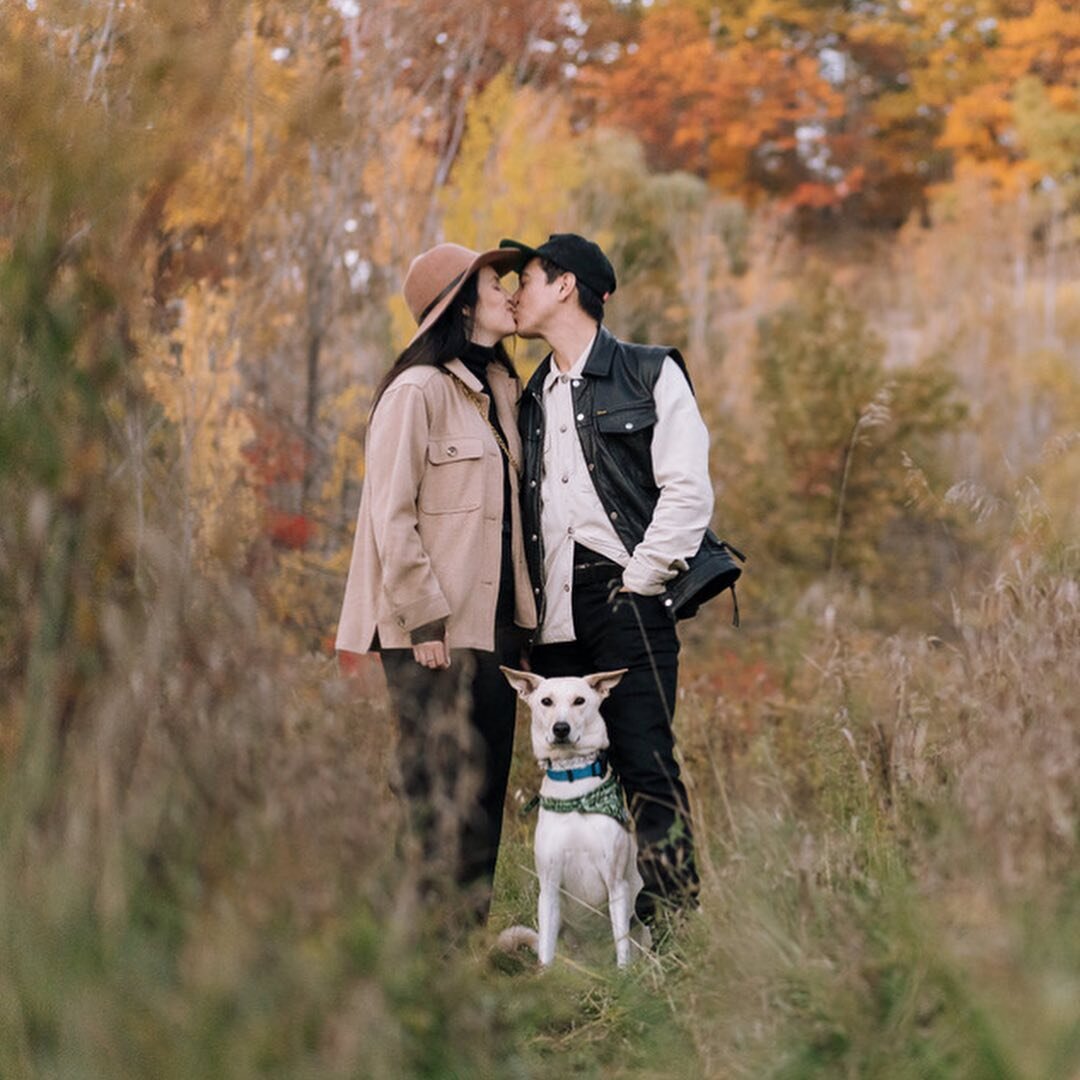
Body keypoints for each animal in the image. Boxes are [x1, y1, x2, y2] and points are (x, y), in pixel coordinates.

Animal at [494, 665, 643, 972]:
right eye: (546, 701)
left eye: (579, 701)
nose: (560, 728)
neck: (574, 790)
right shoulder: (549, 885)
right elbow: (546, 950)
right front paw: (545, 977)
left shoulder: (616, 883)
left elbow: (621, 940)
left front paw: (624, 974)